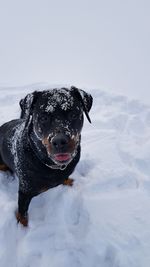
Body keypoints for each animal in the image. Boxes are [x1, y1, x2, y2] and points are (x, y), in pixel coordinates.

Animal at [0, 86, 92, 226]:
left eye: (73, 114)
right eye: (43, 118)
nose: (59, 141)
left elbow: (66, 178)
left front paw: (70, 181)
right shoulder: (25, 192)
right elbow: (23, 214)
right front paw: (22, 228)